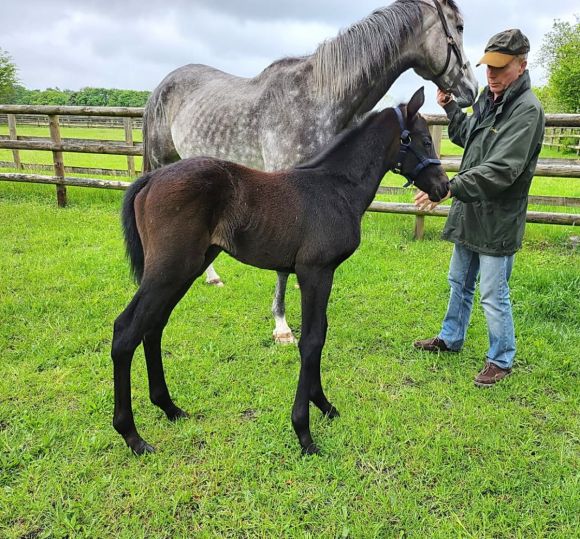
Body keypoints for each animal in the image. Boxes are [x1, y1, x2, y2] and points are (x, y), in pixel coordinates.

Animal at [112, 87, 448, 456]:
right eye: (424, 141)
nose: (443, 187)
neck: (336, 187)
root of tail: (151, 178)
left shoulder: (318, 274)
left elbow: (319, 332)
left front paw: (323, 404)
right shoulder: (315, 271)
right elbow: (312, 340)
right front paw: (305, 432)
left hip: (186, 269)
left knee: (154, 327)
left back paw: (170, 408)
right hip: (169, 270)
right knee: (126, 330)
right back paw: (132, 435)